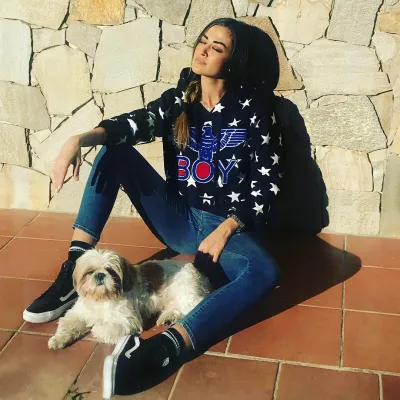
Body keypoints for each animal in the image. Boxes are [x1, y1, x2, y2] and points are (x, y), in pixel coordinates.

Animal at [48, 249, 212, 350]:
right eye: (90, 272)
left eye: (111, 271)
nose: (100, 274)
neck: (102, 299)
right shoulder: (78, 313)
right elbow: (68, 323)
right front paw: (58, 339)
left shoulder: (127, 320)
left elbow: (102, 328)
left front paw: (96, 325)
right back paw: (168, 317)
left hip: (186, 293)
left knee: (195, 305)